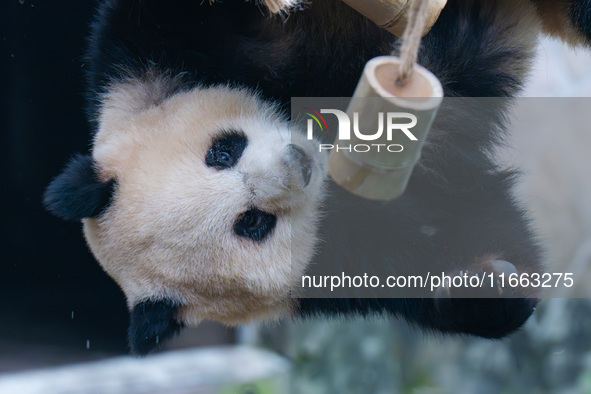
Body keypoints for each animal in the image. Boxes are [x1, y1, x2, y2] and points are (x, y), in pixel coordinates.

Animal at [42, 0, 591, 356]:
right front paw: (488, 283)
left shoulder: (140, 62)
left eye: (222, 152)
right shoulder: (344, 257)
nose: (296, 163)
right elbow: (455, 244)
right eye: (253, 223)